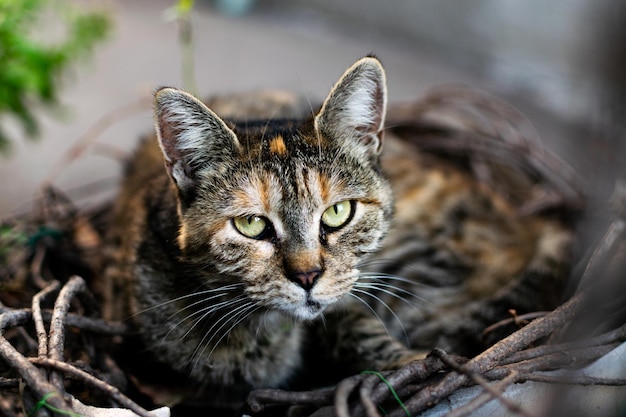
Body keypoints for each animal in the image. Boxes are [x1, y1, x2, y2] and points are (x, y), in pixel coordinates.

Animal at [103, 57, 576, 412]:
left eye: (337, 213)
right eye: (251, 224)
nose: (308, 276)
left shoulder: (354, 296)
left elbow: (356, 326)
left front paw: (411, 363)